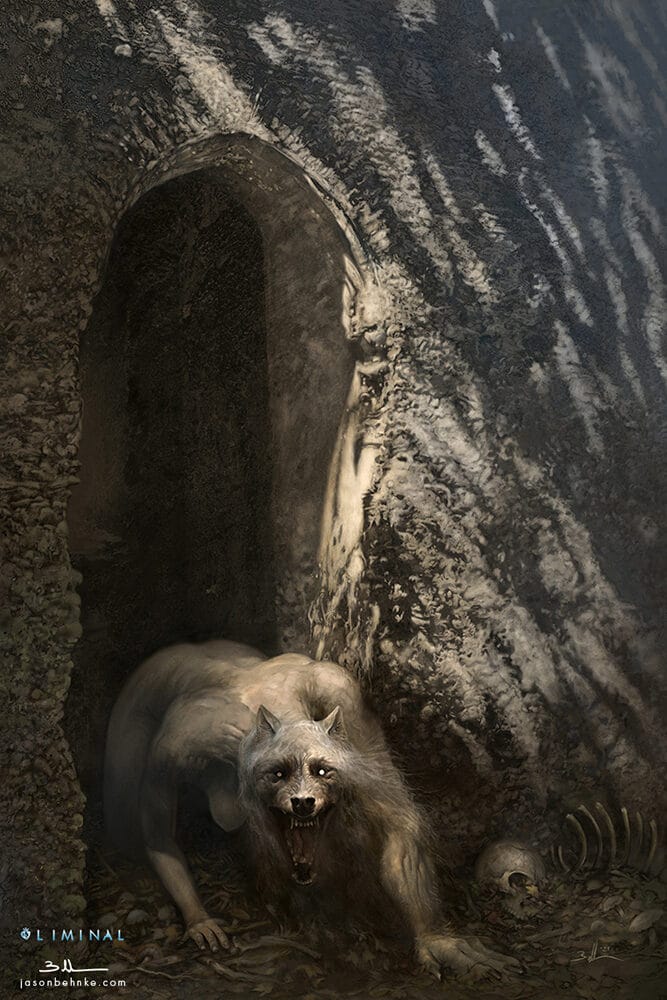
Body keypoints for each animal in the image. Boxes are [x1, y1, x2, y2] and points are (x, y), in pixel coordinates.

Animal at [104, 639, 513, 978]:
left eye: (321, 771)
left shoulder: (344, 696)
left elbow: (397, 816)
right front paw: (198, 917)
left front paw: (436, 939)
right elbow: (159, 837)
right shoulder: (172, 748)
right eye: (278, 774)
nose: (302, 802)